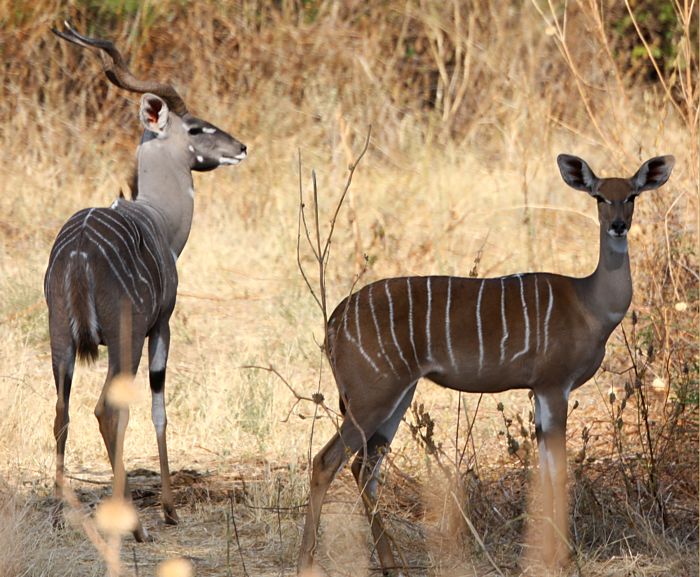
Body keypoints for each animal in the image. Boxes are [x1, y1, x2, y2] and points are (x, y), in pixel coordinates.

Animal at [45, 22, 246, 541]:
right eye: (195, 127)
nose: (240, 148)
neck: (157, 216)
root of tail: (78, 253)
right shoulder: (162, 325)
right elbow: (159, 407)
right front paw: (170, 510)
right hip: (125, 338)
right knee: (107, 410)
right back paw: (134, 526)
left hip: (59, 338)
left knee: (62, 411)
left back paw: (59, 512)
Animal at [297, 154, 675, 575]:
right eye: (598, 197)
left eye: (632, 195)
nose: (618, 225)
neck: (589, 304)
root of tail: (335, 319)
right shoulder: (553, 384)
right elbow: (559, 470)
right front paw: (562, 558)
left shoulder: (539, 392)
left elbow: (544, 469)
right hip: (372, 393)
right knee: (326, 461)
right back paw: (308, 563)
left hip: (396, 394)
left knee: (364, 467)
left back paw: (394, 563)